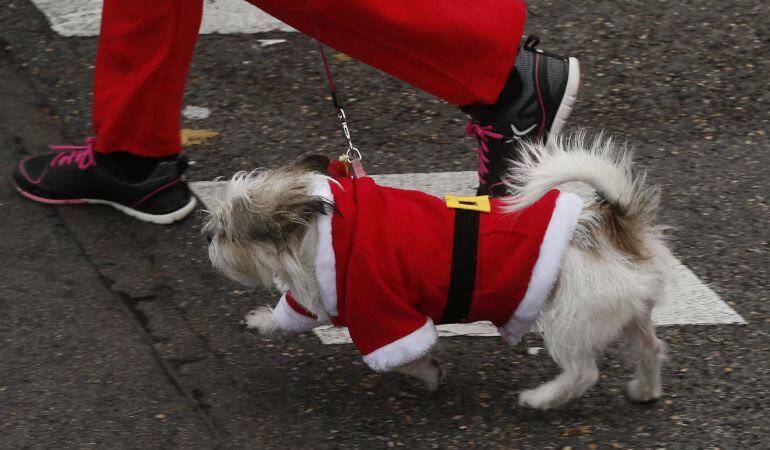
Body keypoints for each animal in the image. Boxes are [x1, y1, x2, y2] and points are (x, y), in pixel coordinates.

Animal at [202, 133, 664, 408]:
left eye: (227, 231)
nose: (209, 239)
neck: (327, 225)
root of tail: (614, 226)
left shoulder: (382, 314)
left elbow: (404, 358)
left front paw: (428, 373)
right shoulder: (324, 292)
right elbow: (292, 312)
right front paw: (264, 321)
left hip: (571, 319)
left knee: (584, 371)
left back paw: (541, 398)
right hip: (625, 313)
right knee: (651, 348)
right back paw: (645, 390)